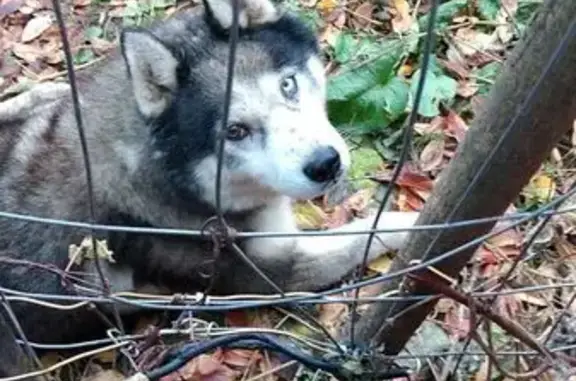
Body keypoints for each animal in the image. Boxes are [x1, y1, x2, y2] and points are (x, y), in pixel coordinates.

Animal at [0, 0, 418, 376]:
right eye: (235, 132)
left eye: (288, 84)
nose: (325, 164)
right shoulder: (272, 274)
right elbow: (363, 235)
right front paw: (417, 226)